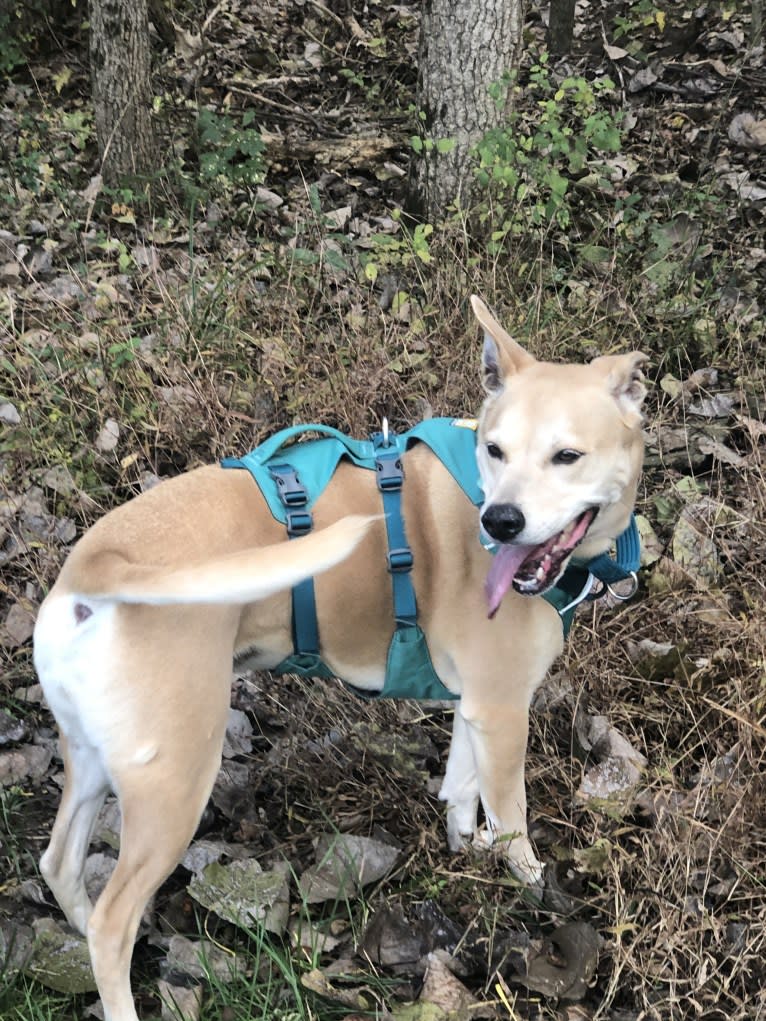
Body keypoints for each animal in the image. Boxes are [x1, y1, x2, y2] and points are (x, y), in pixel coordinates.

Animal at [36, 298, 649, 1021]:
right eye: (496, 450)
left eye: (567, 455)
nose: (499, 522)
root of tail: (97, 563)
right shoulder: (502, 713)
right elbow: (512, 825)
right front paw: (531, 892)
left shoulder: (474, 710)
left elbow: (460, 789)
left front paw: (462, 850)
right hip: (174, 787)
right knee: (112, 921)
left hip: (91, 760)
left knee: (59, 866)